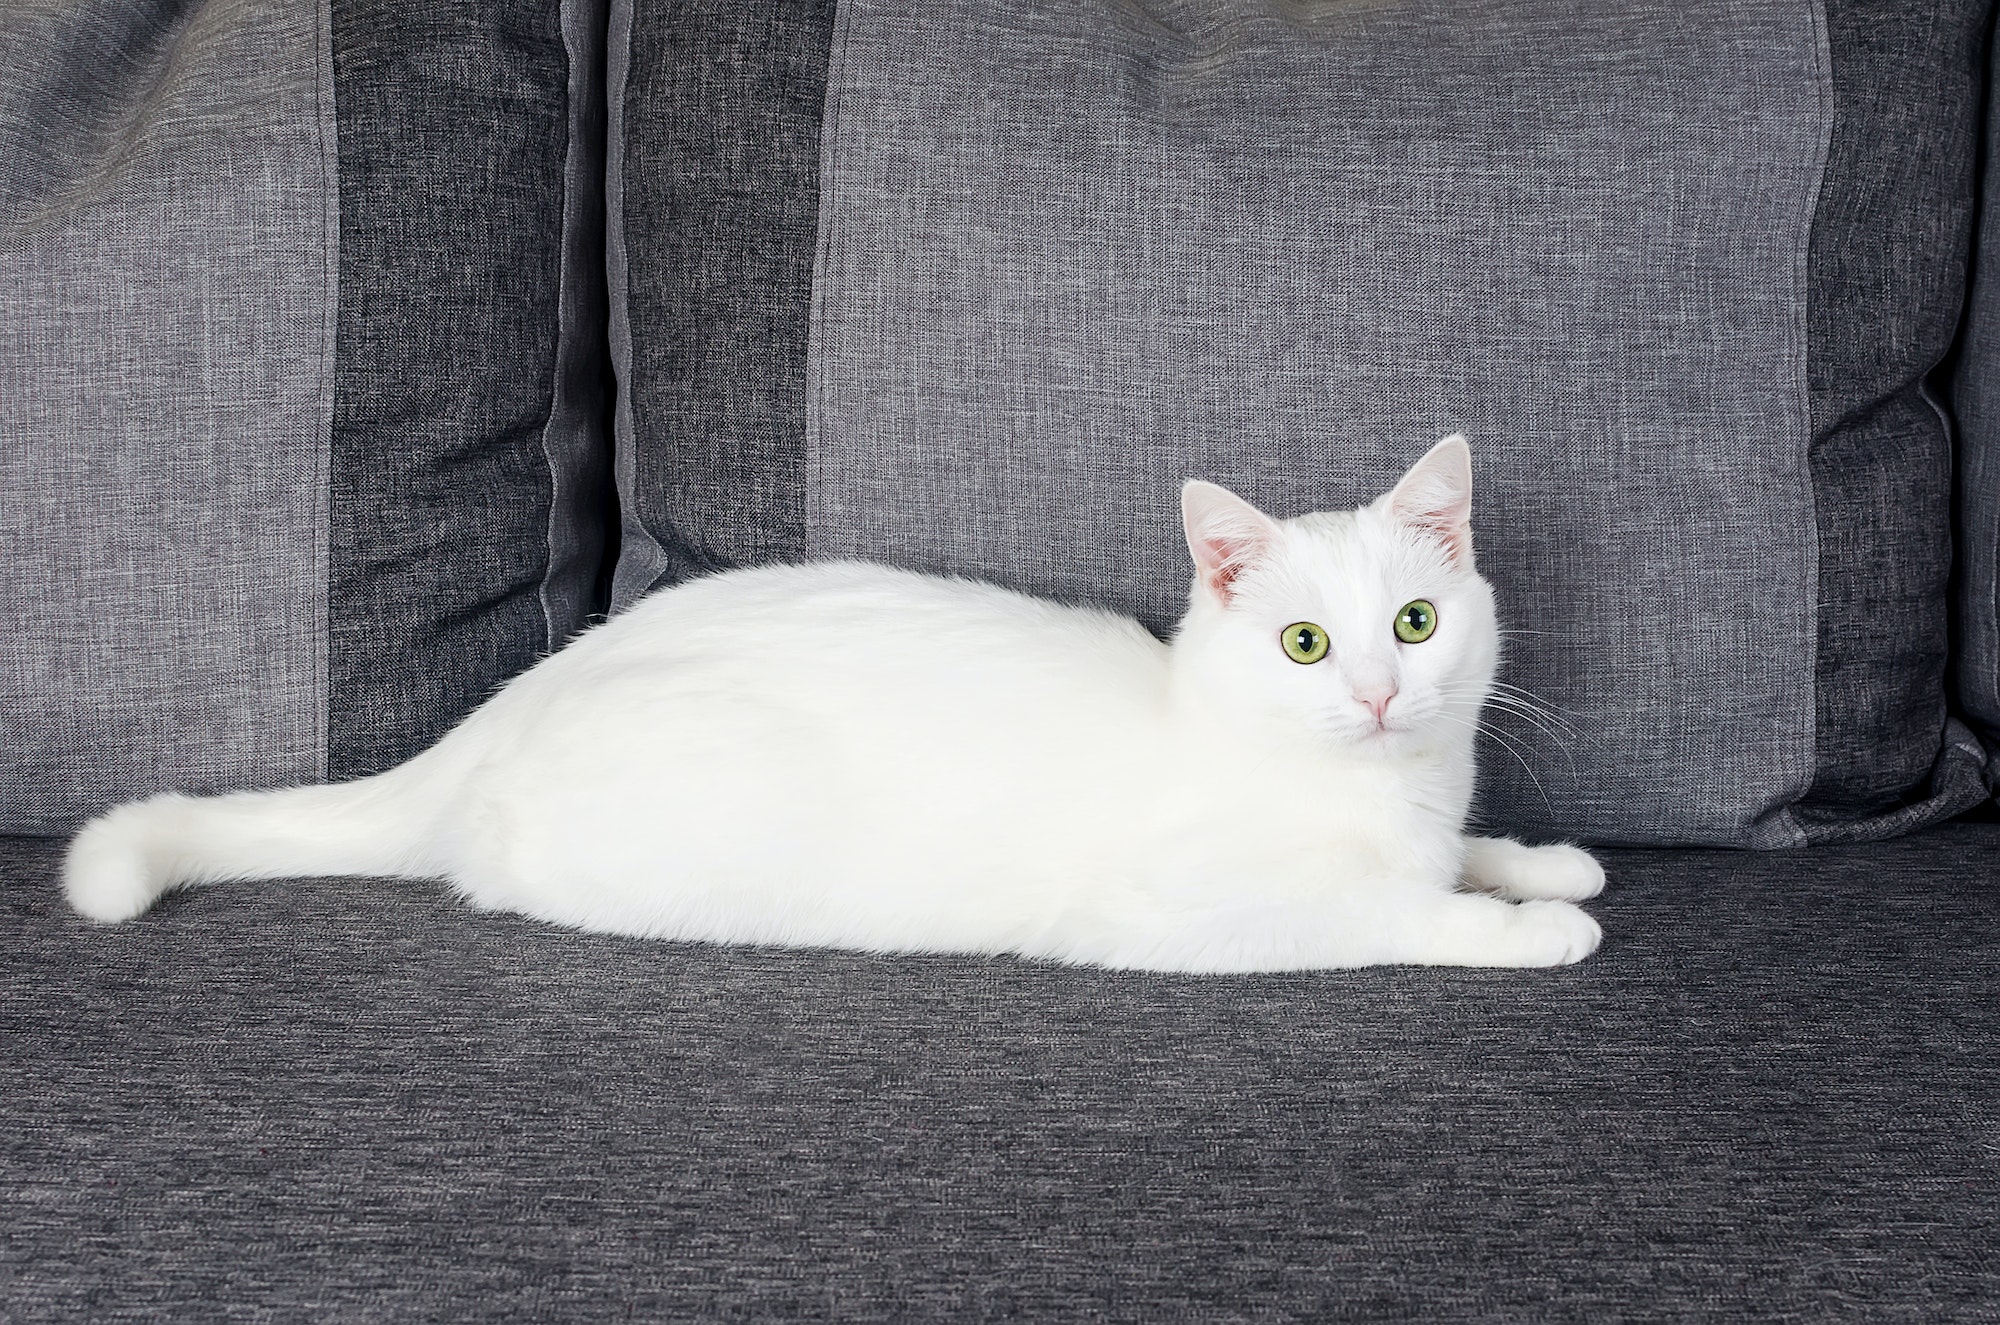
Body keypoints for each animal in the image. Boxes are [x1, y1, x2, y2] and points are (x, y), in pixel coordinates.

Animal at [58, 440, 1608, 972]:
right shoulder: (1190, 909)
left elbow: (1457, 855)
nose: (1378, 690)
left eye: (1413, 624)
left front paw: (1541, 860)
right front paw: (1530, 926)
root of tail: (510, 701)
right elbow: (1393, 911)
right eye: (1301, 642)